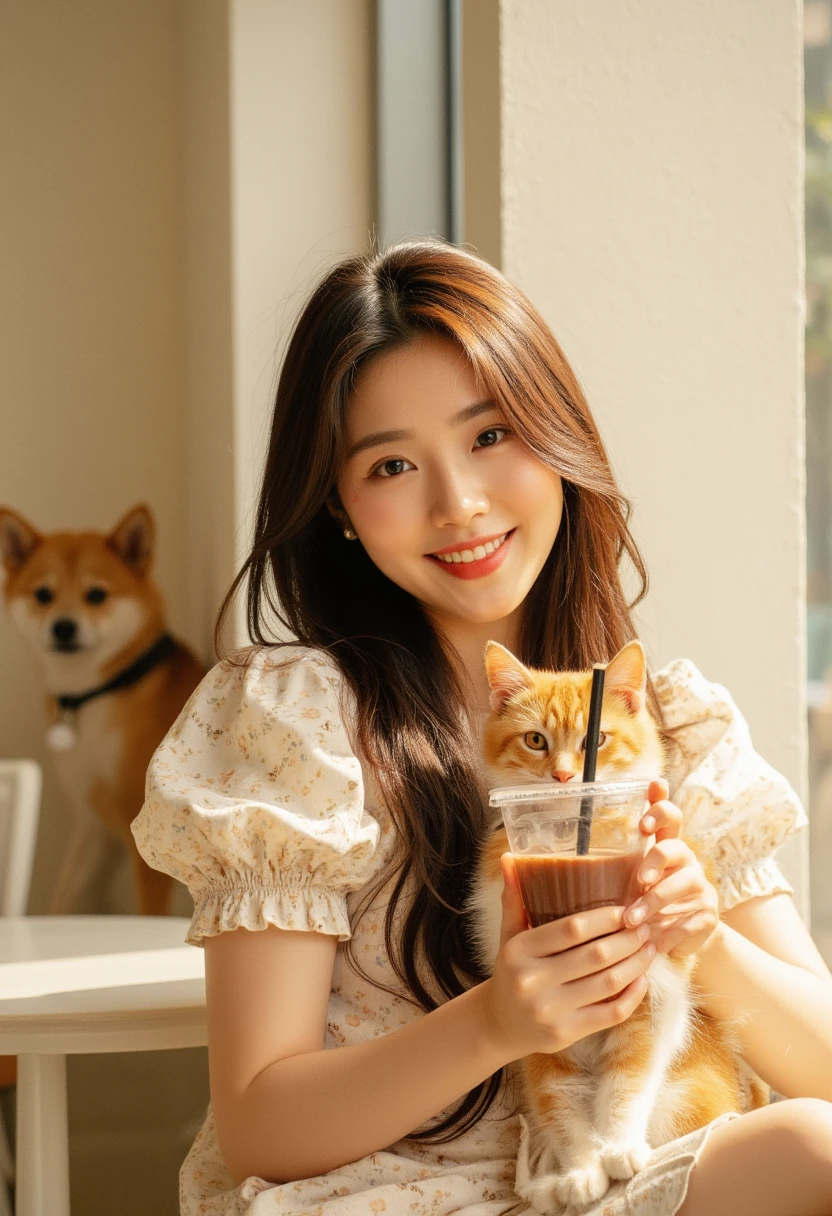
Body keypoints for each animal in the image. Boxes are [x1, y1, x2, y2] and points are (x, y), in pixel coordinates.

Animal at [0, 500, 204, 914]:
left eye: (96, 595)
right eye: (43, 595)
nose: (63, 627)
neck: (98, 696)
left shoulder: (141, 837)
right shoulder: (95, 828)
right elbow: (63, 897)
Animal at [467, 642, 759, 1211]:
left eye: (595, 739)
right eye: (535, 740)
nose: (565, 777)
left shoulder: (654, 990)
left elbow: (629, 1076)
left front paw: (618, 1147)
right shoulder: (536, 1022)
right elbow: (555, 1093)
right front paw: (582, 1167)